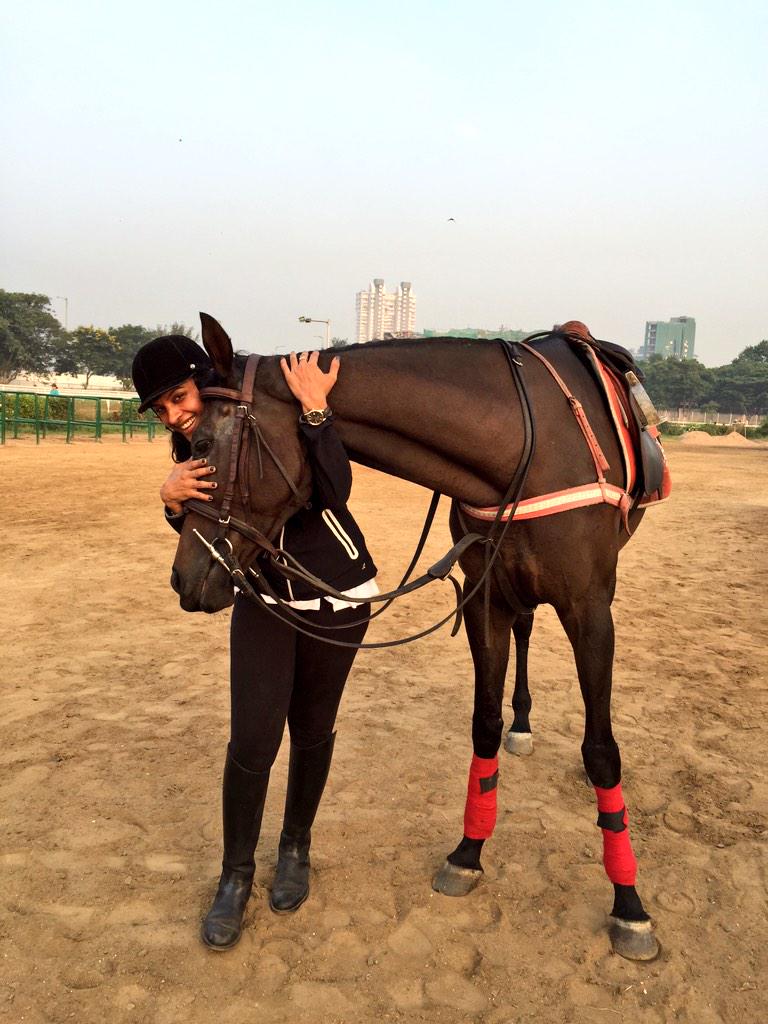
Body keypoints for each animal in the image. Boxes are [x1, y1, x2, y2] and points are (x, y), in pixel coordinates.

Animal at [169, 312, 660, 961]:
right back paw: (523, 724)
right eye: (185, 447)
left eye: (202, 446)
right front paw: (469, 853)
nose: (183, 576)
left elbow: (602, 752)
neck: (525, 445)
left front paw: (630, 906)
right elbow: (483, 724)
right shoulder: (485, 596)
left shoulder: (591, 608)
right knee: (526, 631)